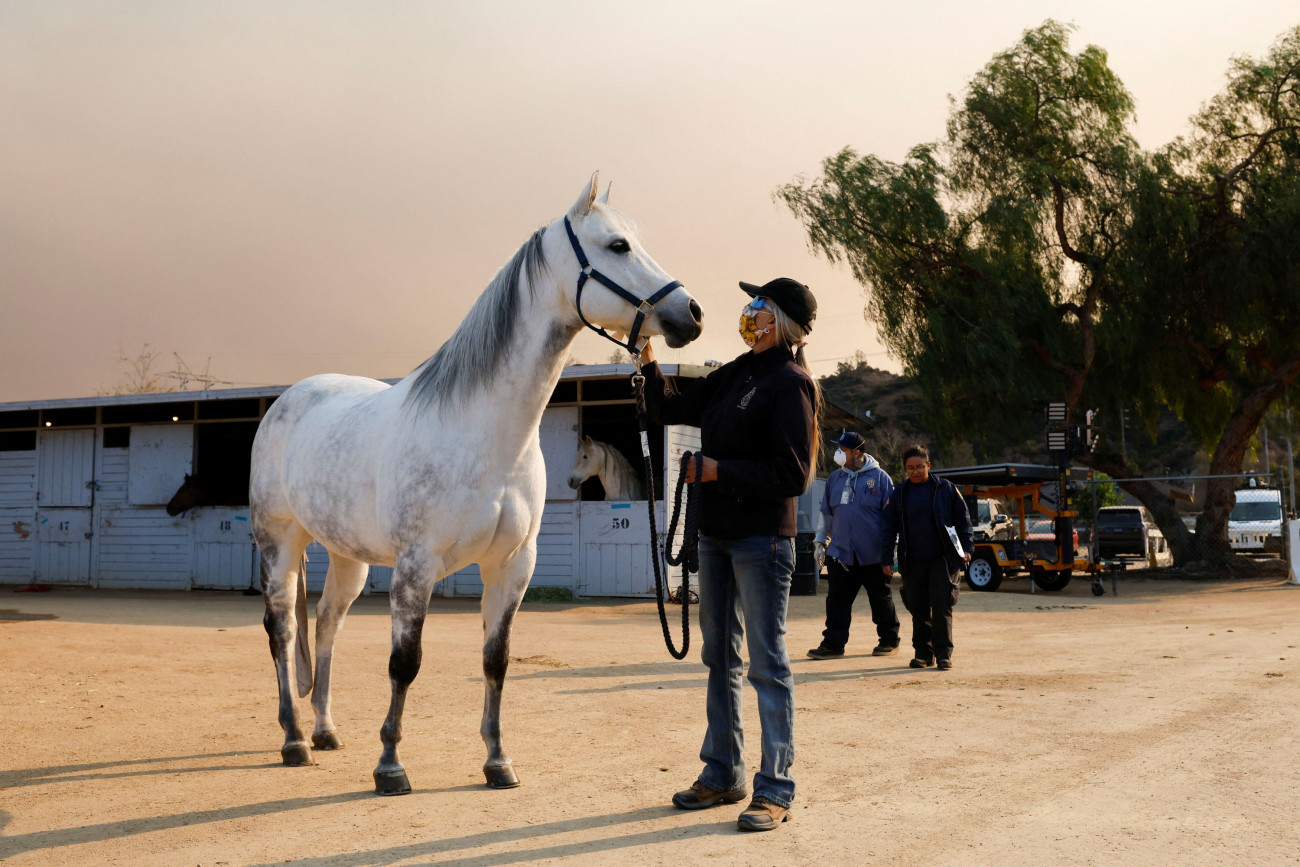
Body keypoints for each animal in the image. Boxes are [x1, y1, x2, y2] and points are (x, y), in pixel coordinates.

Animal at [250, 174, 702, 795]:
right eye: (617, 246)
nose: (691, 313)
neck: (484, 433)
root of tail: (289, 399)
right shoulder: (416, 566)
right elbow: (405, 663)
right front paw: (390, 766)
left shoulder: (512, 565)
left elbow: (496, 660)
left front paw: (497, 761)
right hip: (280, 542)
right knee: (282, 629)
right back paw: (294, 740)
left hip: (349, 557)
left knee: (324, 627)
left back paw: (324, 730)